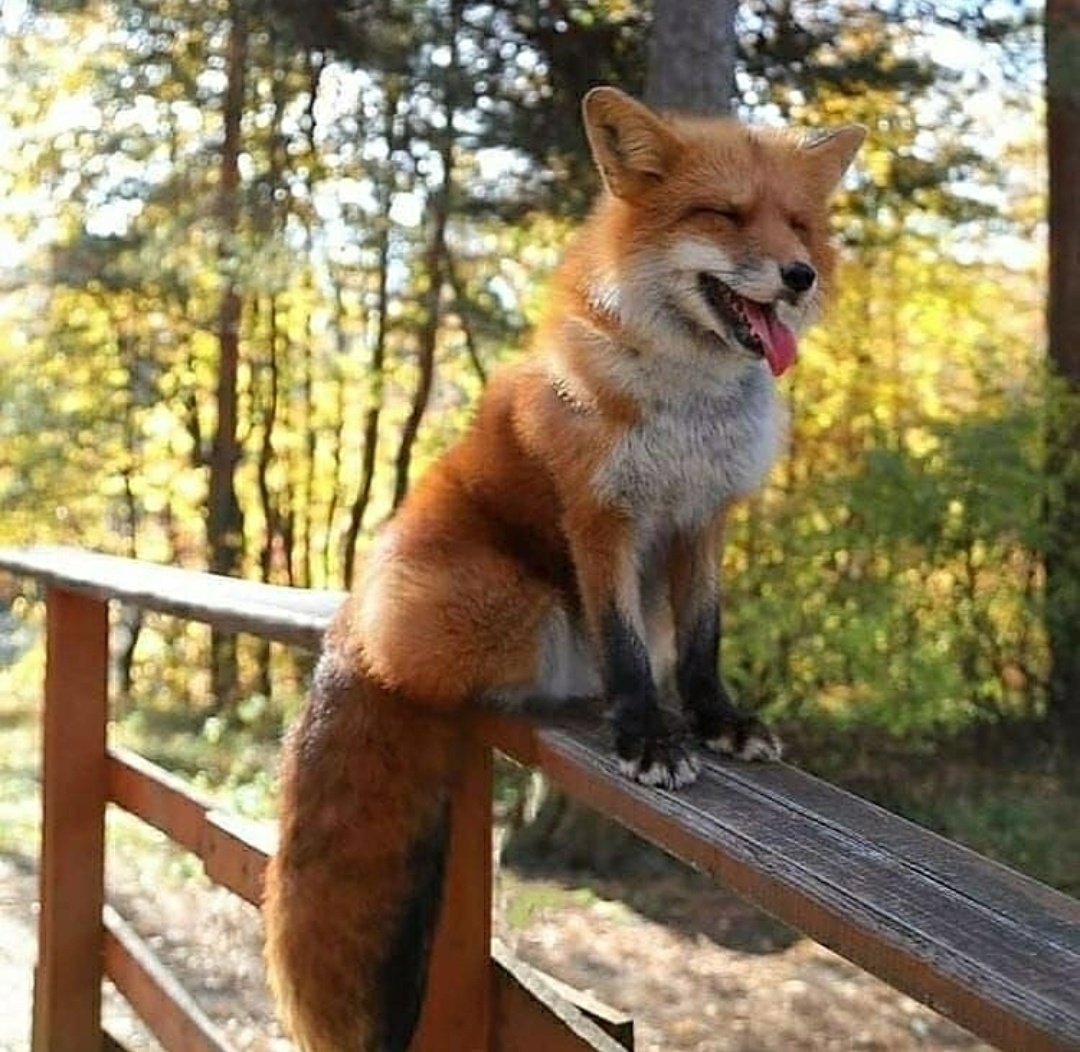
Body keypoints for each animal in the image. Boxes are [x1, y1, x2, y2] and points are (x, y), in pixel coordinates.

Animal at [263, 86, 864, 1052]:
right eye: (726, 215)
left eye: (800, 226)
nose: (799, 276)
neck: (688, 411)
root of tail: (353, 628)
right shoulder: (602, 518)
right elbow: (626, 646)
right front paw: (647, 732)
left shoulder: (702, 519)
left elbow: (703, 641)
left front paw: (716, 720)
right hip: (519, 606)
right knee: (457, 678)